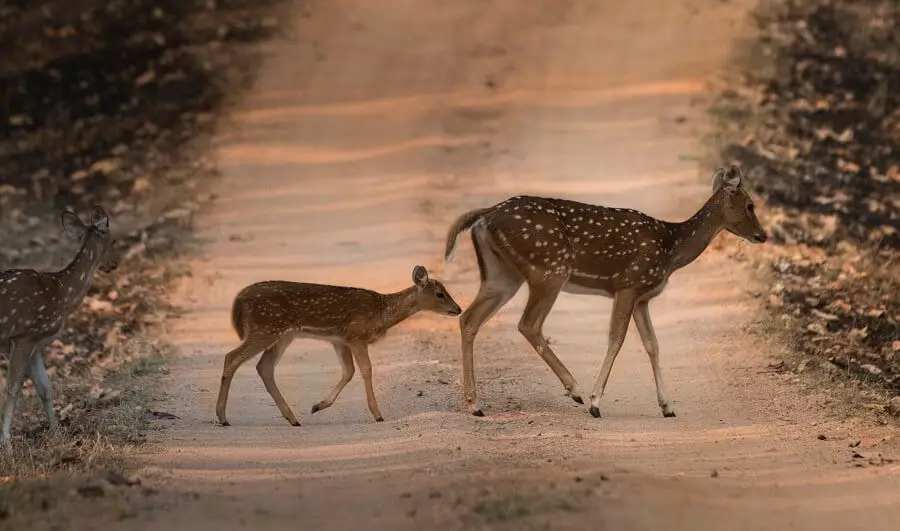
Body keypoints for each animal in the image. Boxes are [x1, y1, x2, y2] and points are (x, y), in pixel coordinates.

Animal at [0, 207, 118, 448]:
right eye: (114, 241)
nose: (115, 264)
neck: (62, 294)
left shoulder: (35, 342)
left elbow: (45, 388)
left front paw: (56, 432)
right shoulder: (24, 334)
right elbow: (13, 388)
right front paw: (7, 444)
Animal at [214, 266, 460, 428]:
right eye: (440, 294)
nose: (457, 309)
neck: (381, 314)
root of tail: (239, 299)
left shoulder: (339, 340)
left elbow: (348, 371)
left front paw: (318, 406)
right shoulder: (356, 335)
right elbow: (366, 370)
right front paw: (378, 414)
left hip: (282, 335)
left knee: (263, 367)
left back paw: (293, 418)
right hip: (264, 327)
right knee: (232, 357)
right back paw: (223, 417)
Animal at [442, 166, 768, 420]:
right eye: (750, 205)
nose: (763, 235)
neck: (671, 247)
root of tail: (485, 215)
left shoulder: (643, 297)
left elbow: (653, 345)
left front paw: (667, 406)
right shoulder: (628, 284)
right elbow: (617, 339)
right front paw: (596, 402)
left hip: (502, 276)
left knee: (469, 318)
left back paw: (475, 405)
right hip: (550, 269)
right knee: (528, 324)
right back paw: (575, 390)